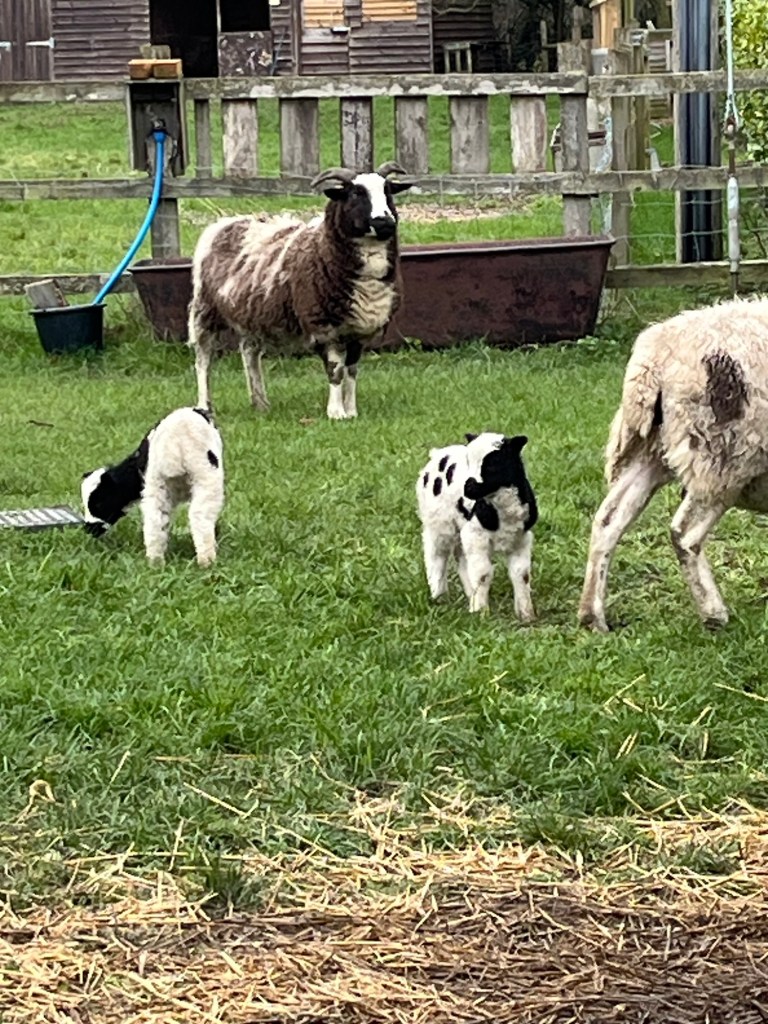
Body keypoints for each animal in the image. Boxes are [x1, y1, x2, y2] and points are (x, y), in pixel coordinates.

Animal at [81, 406, 224, 566]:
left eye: (99, 504)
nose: (88, 529)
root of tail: (174, 445)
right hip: (206, 478)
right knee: (200, 517)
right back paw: (207, 561)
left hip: (157, 483)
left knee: (154, 520)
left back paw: (155, 561)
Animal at [188, 161, 413, 420]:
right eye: (356, 193)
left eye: (387, 191)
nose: (384, 222)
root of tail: (224, 223)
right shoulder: (324, 326)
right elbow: (335, 371)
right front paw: (336, 413)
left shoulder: (359, 331)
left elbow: (352, 371)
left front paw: (352, 410)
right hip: (205, 309)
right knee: (203, 359)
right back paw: (204, 406)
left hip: (250, 314)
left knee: (249, 353)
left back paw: (260, 403)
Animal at [416, 432, 538, 619]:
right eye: (468, 461)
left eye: (493, 463)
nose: (468, 488)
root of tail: (437, 454)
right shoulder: (476, 534)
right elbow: (483, 573)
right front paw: (481, 612)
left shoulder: (521, 537)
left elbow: (521, 574)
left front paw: (526, 614)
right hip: (438, 523)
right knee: (436, 556)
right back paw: (439, 596)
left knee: (462, 560)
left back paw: (469, 596)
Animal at [578, 295, 768, 632]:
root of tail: (653, 358)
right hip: (720, 458)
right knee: (684, 533)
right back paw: (714, 613)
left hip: (649, 450)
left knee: (607, 520)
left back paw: (593, 615)